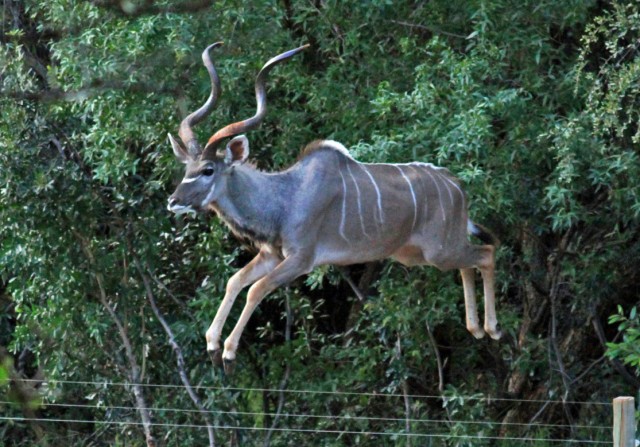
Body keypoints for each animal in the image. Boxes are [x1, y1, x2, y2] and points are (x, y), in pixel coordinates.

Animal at [168, 43, 502, 372]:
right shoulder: (271, 255)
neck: (284, 198)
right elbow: (234, 281)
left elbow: (255, 289)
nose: (173, 201)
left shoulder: (300, 259)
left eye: (208, 170)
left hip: (438, 251)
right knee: (467, 264)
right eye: (187, 168)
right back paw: (475, 328)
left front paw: (227, 352)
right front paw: (212, 345)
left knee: (486, 254)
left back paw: (492, 328)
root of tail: (458, 188)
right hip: (418, 255)